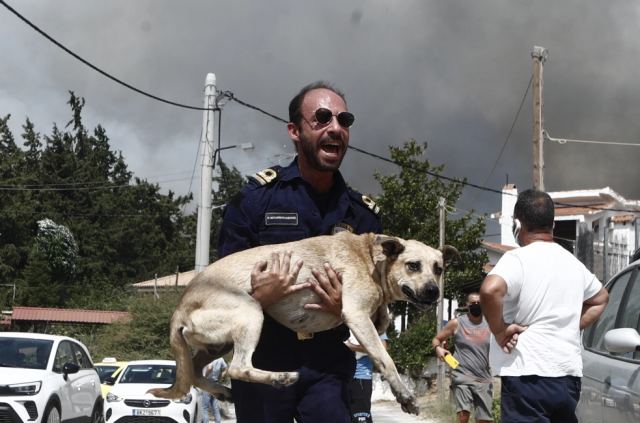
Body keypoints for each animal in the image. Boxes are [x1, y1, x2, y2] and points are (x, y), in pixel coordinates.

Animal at [150, 232, 460, 414]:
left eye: (439, 269)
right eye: (413, 265)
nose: (433, 292)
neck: (371, 258)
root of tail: (179, 307)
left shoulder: (366, 313)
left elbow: (382, 322)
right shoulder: (356, 313)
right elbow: (385, 359)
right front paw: (404, 396)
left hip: (218, 343)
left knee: (196, 371)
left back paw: (223, 391)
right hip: (250, 311)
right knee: (237, 367)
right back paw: (279, 378)